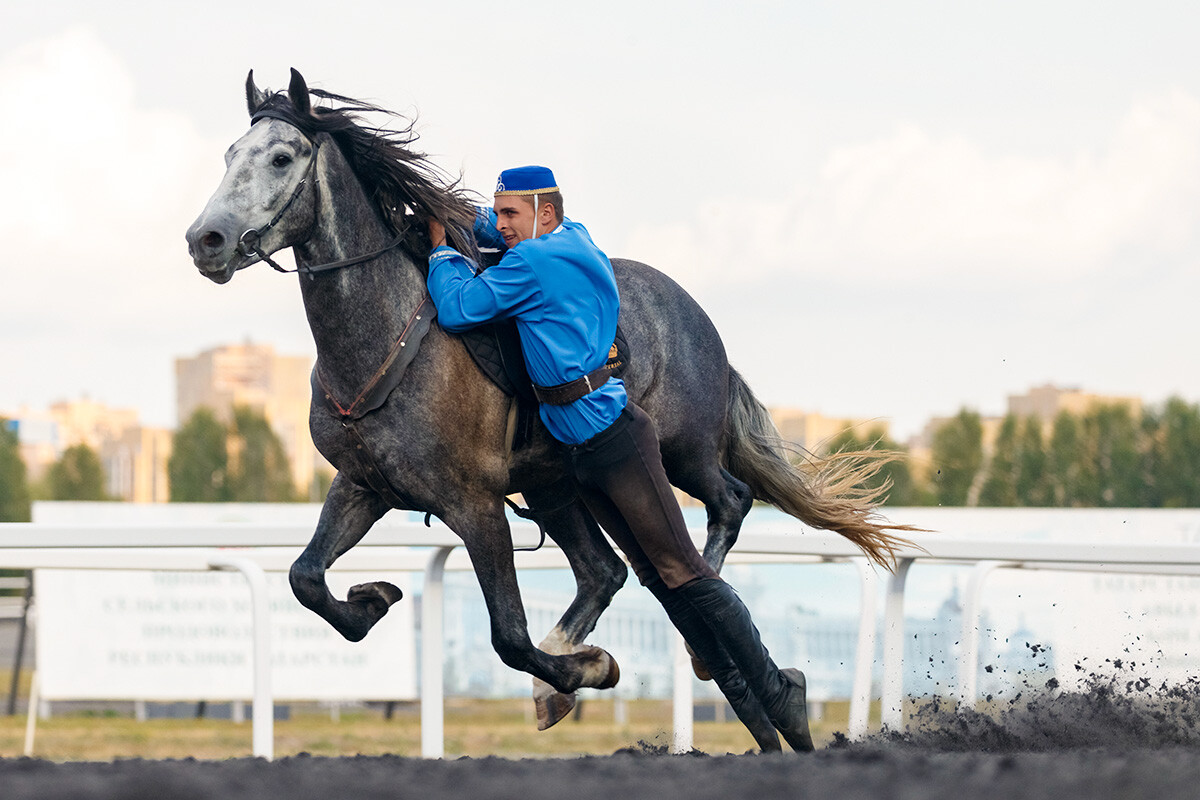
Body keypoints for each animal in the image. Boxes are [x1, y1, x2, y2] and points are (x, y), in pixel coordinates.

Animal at [184, 68, 916, 729]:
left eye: (281, 157)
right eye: (229, 155)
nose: (204, 240)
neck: (388, 336)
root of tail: (696, 315)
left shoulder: (474, 502)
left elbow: (508, 635)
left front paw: (588, 667)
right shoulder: (365, 484)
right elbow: (305, 577)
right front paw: (373, 596)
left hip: (678, 453)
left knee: (719, 514)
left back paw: (700, 650)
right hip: (557, 483)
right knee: (606, 571)